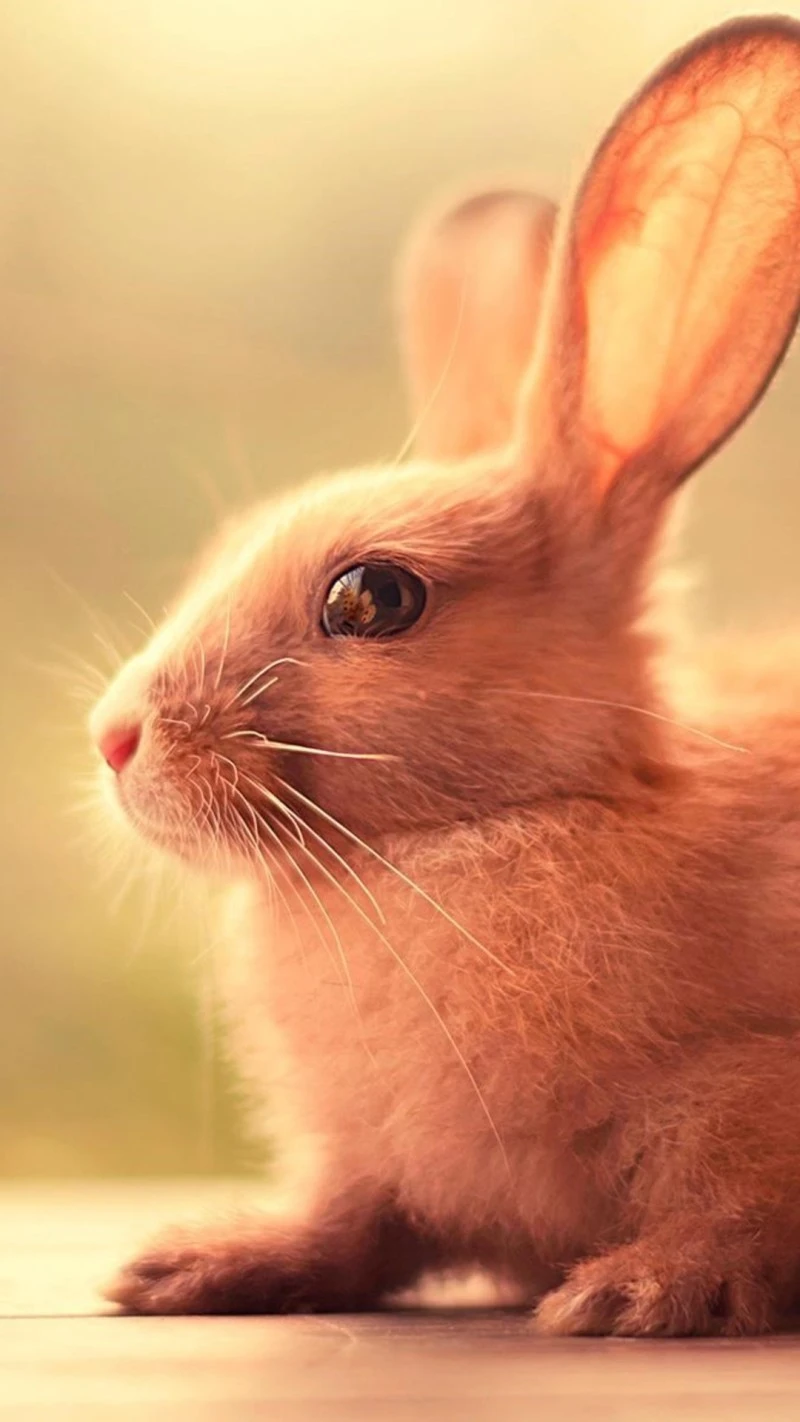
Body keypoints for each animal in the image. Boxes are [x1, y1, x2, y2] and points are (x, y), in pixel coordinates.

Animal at [89, 15, 800, 1335]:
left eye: (371, 598)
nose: (114, 739)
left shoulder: (740, 1106)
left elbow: (730, 1219)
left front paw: (628, 1294)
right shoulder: (368, 1164)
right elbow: (348, 1226)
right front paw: (191, 1266)